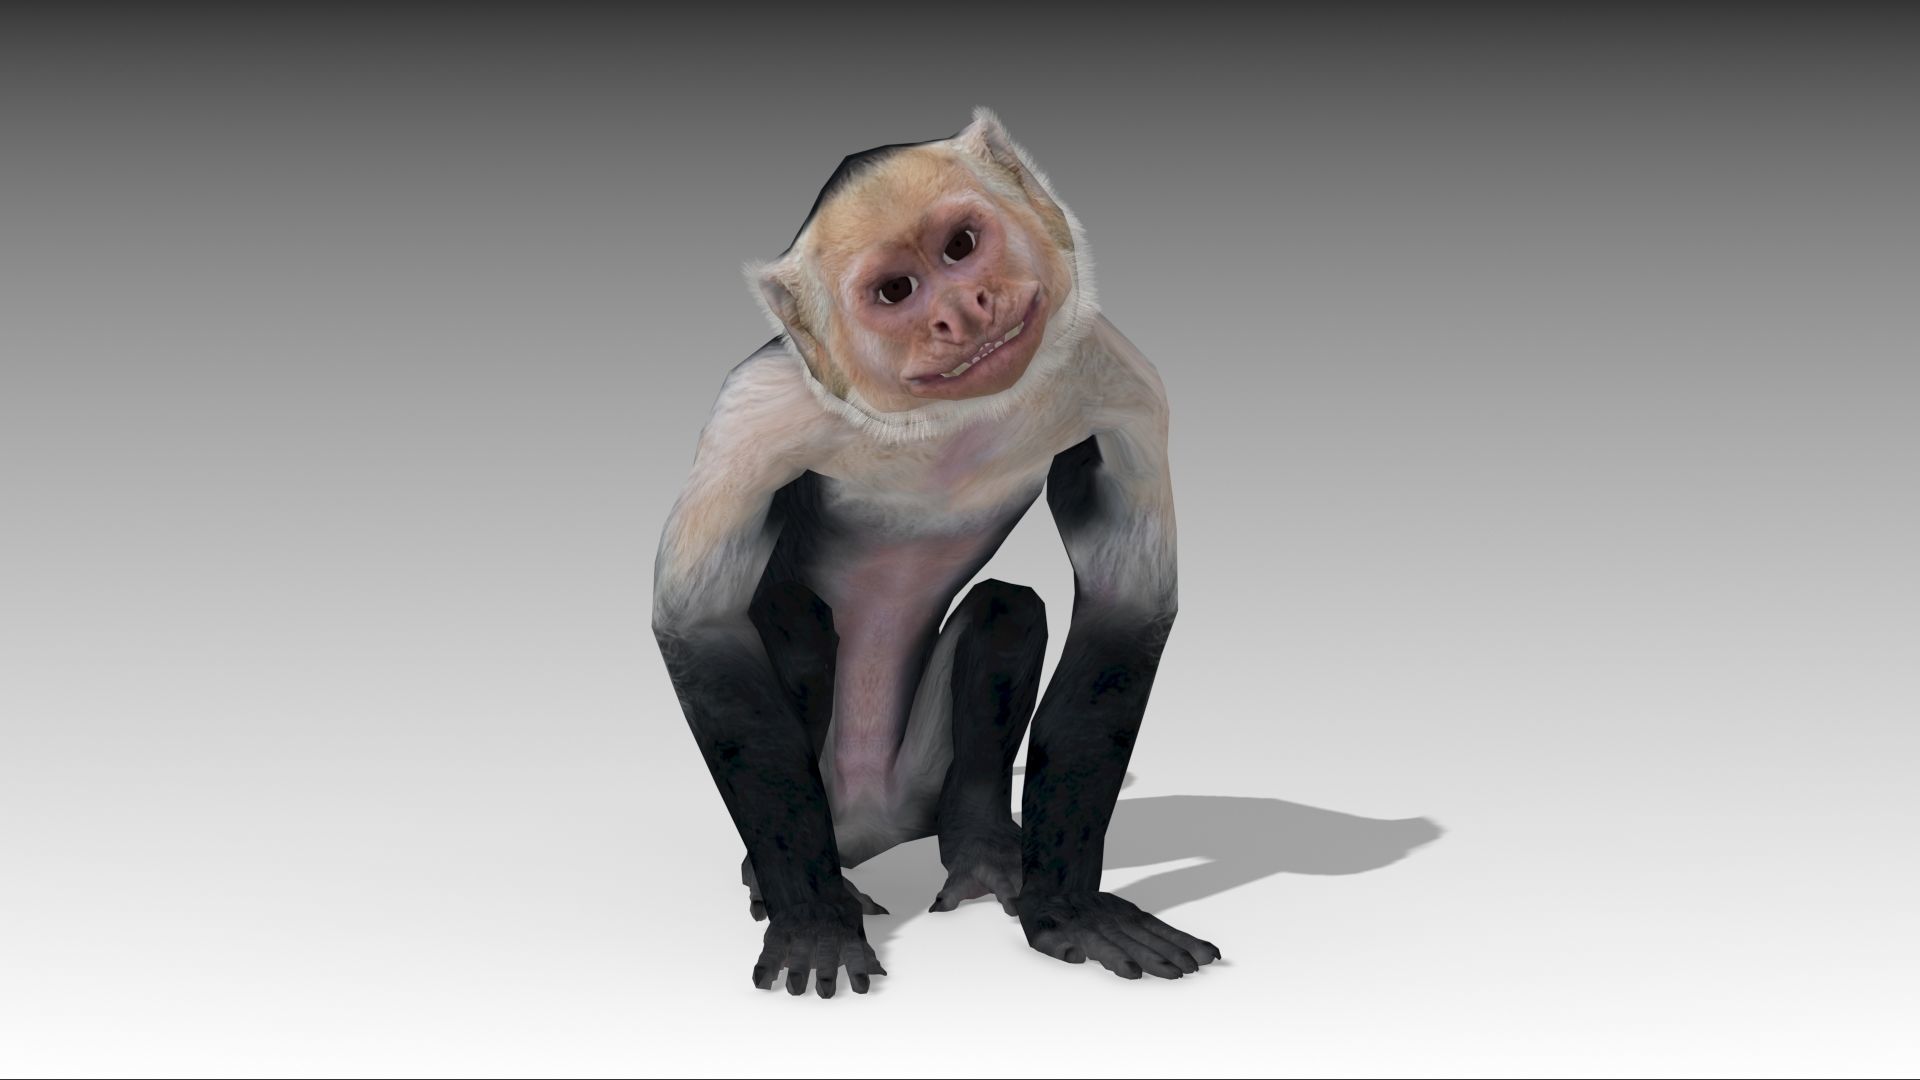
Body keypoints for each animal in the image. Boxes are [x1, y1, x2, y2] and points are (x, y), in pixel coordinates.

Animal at [651, 107, 1220, 997]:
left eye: (959, 247)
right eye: (897, 292)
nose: (963, 310)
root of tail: (875, 828)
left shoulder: (1117, 380)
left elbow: (1124, 603)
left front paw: (1071, 914)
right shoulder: (758, 415)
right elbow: (699, 623)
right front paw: (812, 922)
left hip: (920, 777)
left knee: (1007, 610)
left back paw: (982, 846)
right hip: (831, 795)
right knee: (794, 620)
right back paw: (790, 881)